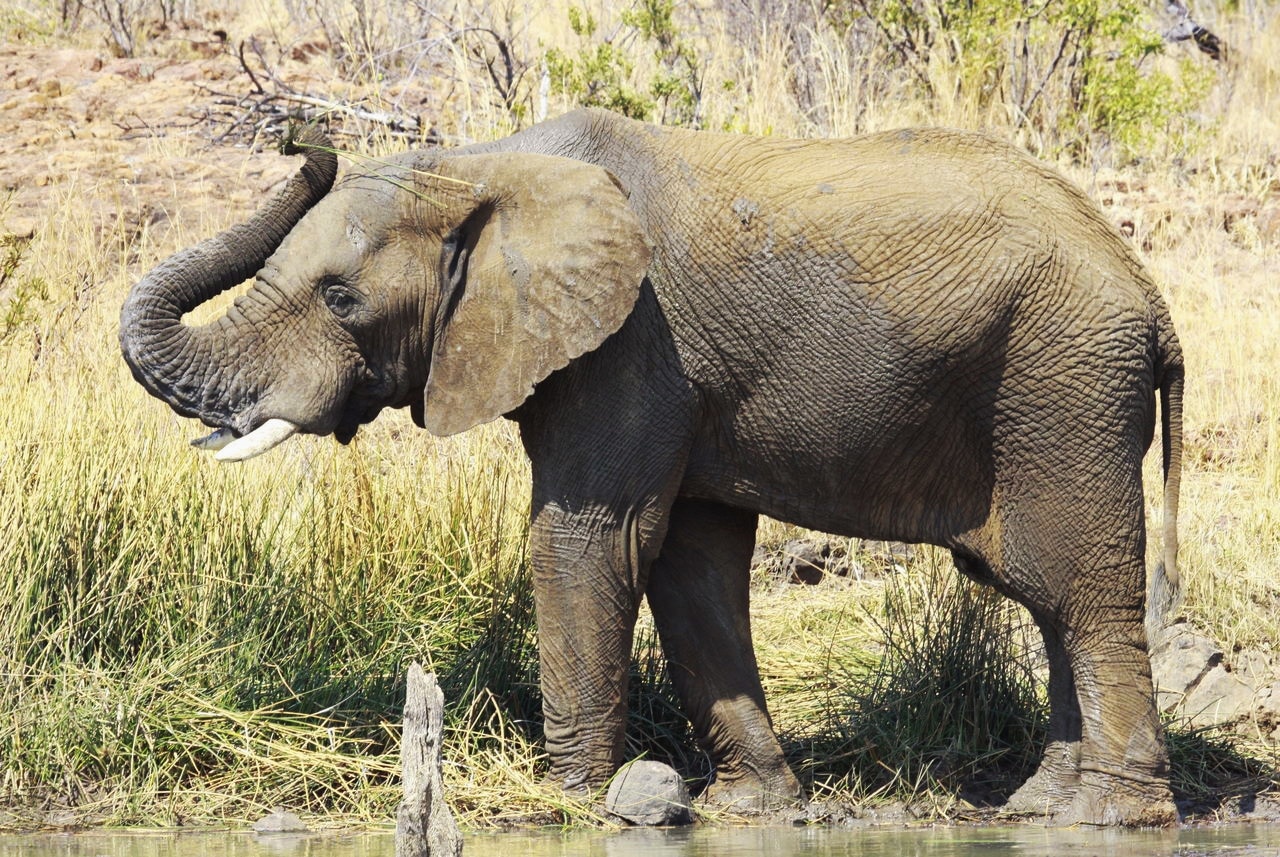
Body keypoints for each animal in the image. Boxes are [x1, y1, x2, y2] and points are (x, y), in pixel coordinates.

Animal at [120, 108, 1184, 826]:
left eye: (340, 298)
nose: (302, 141)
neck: (483, 164)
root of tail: (1148, 292)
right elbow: (689, 563)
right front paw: (754, 808)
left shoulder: (632, 342)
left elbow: (589, 536)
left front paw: (570, 796)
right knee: (1047, 597)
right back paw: (1041, 807)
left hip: (1063, 386)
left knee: (1079, 589)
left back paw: (1111, 818)